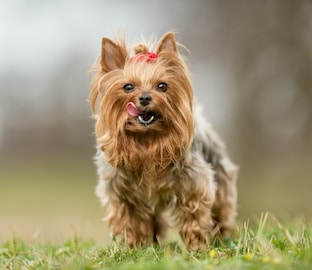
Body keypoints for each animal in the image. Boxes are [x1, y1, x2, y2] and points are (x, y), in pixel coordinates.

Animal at [89, 32, 238, 251]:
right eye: (128, 87)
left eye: (162, 85)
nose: (144, 98)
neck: (147, 139)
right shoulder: (122, 194)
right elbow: (130, 221)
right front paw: (132, 247)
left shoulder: (193, 185)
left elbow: (194, 216)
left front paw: (196, 247)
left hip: (221, 178)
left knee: (222, 212)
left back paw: (222, 238)